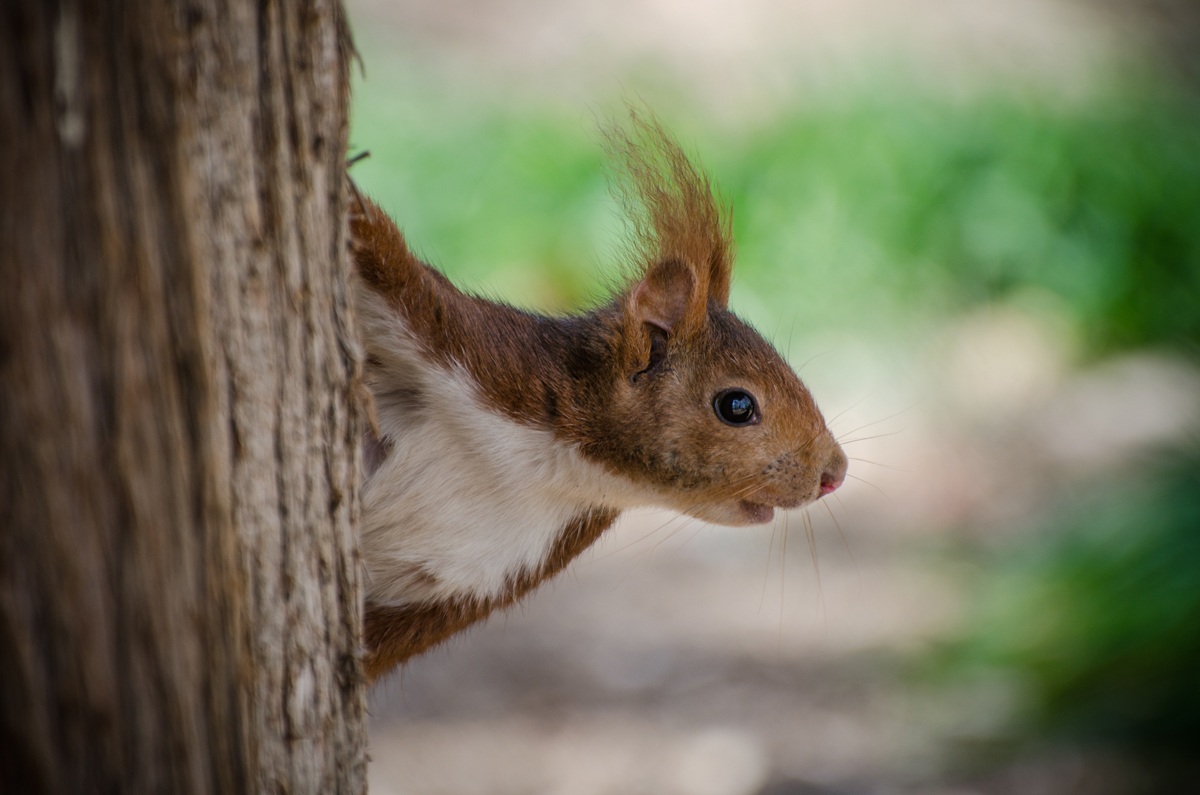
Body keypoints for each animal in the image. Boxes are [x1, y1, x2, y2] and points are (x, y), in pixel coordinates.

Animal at [349, 113, 847, 682]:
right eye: (737, 406)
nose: (835, 474)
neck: (545, 461)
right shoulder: (464, 343)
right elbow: (380, 254)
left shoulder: (472, 582)